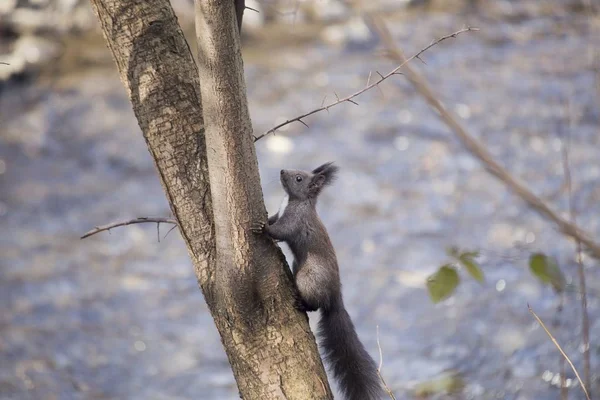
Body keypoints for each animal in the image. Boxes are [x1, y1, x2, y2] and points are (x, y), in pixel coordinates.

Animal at [251, 162, 382, 400]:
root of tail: (335, 298)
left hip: (309, 277)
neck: (293, 200)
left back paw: (302, 304)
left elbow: (280, 231)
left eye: (299, 179)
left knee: (315, 304)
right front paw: (266, 218)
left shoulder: (295, 220)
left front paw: (263, 228)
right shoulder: (281, 212)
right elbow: (274, 217)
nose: (282, 171)